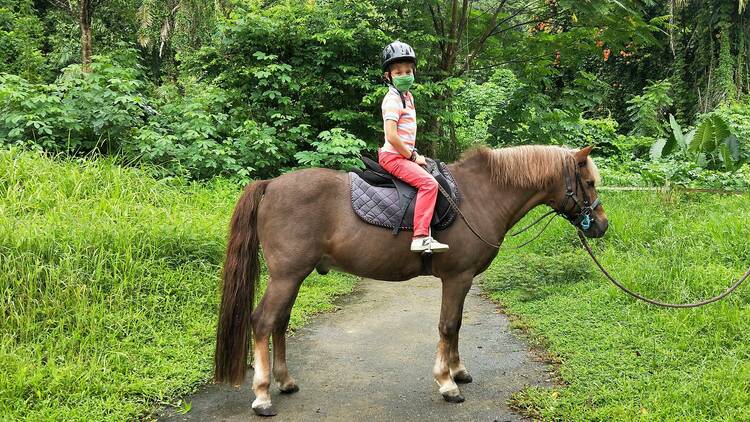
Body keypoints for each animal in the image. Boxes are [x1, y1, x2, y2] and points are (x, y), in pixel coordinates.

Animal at [213, 144, 612, 416]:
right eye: (589, 182)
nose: (602, 225)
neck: (480, 197)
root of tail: (271, 185)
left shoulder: (462, 281)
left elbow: (457, 325)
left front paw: (458, 371)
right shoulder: (456, 278)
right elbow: (447, 326)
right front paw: (447, 384)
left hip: (293, 277)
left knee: (279, 322)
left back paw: (285, 381)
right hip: (287, 275)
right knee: (264, 321)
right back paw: (262, 395)